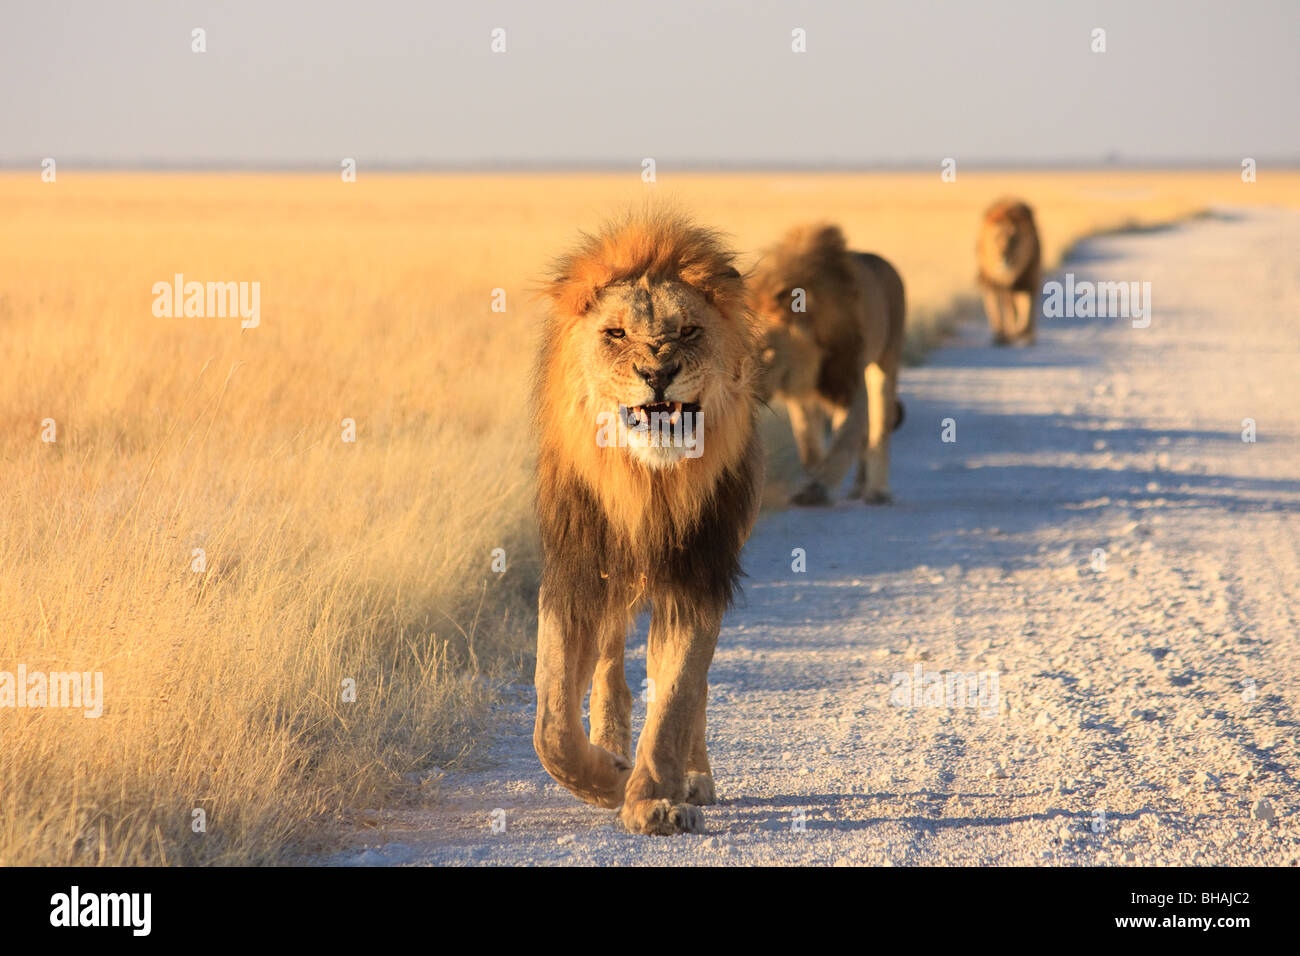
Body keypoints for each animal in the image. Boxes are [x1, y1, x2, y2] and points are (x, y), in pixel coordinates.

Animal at [533, 205, 764, 832]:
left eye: (688, 331)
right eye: (615, 334)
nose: (657, 373)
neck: (646, 483)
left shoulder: (698, 576)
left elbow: (679, 693)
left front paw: (655, 797)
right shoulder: (576, 571)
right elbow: (552, 725)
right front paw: (610, 776)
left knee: (693, 691)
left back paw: (693, 778)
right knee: (609, 669)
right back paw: (613, 748)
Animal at [754, 225, 904, 509]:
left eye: (767, 352)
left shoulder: (850, 383)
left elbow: (842, 444)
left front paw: (815, 492)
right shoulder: (801, 395)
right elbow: (809, 447)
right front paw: (813, 479)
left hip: (886, 360)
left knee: (879, 429)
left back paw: (878, 492)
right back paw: (858, 489)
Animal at [977, 197, 1045, 343]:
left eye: (1014, 239)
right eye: (996, 238)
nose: (1003, 257)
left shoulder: (1030, 278)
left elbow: (1028, 306)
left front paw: (1024, 332)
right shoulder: (997, 282)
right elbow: (1003, 308)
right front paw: (1009, 333)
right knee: (1000, 304)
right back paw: (1004, 335)